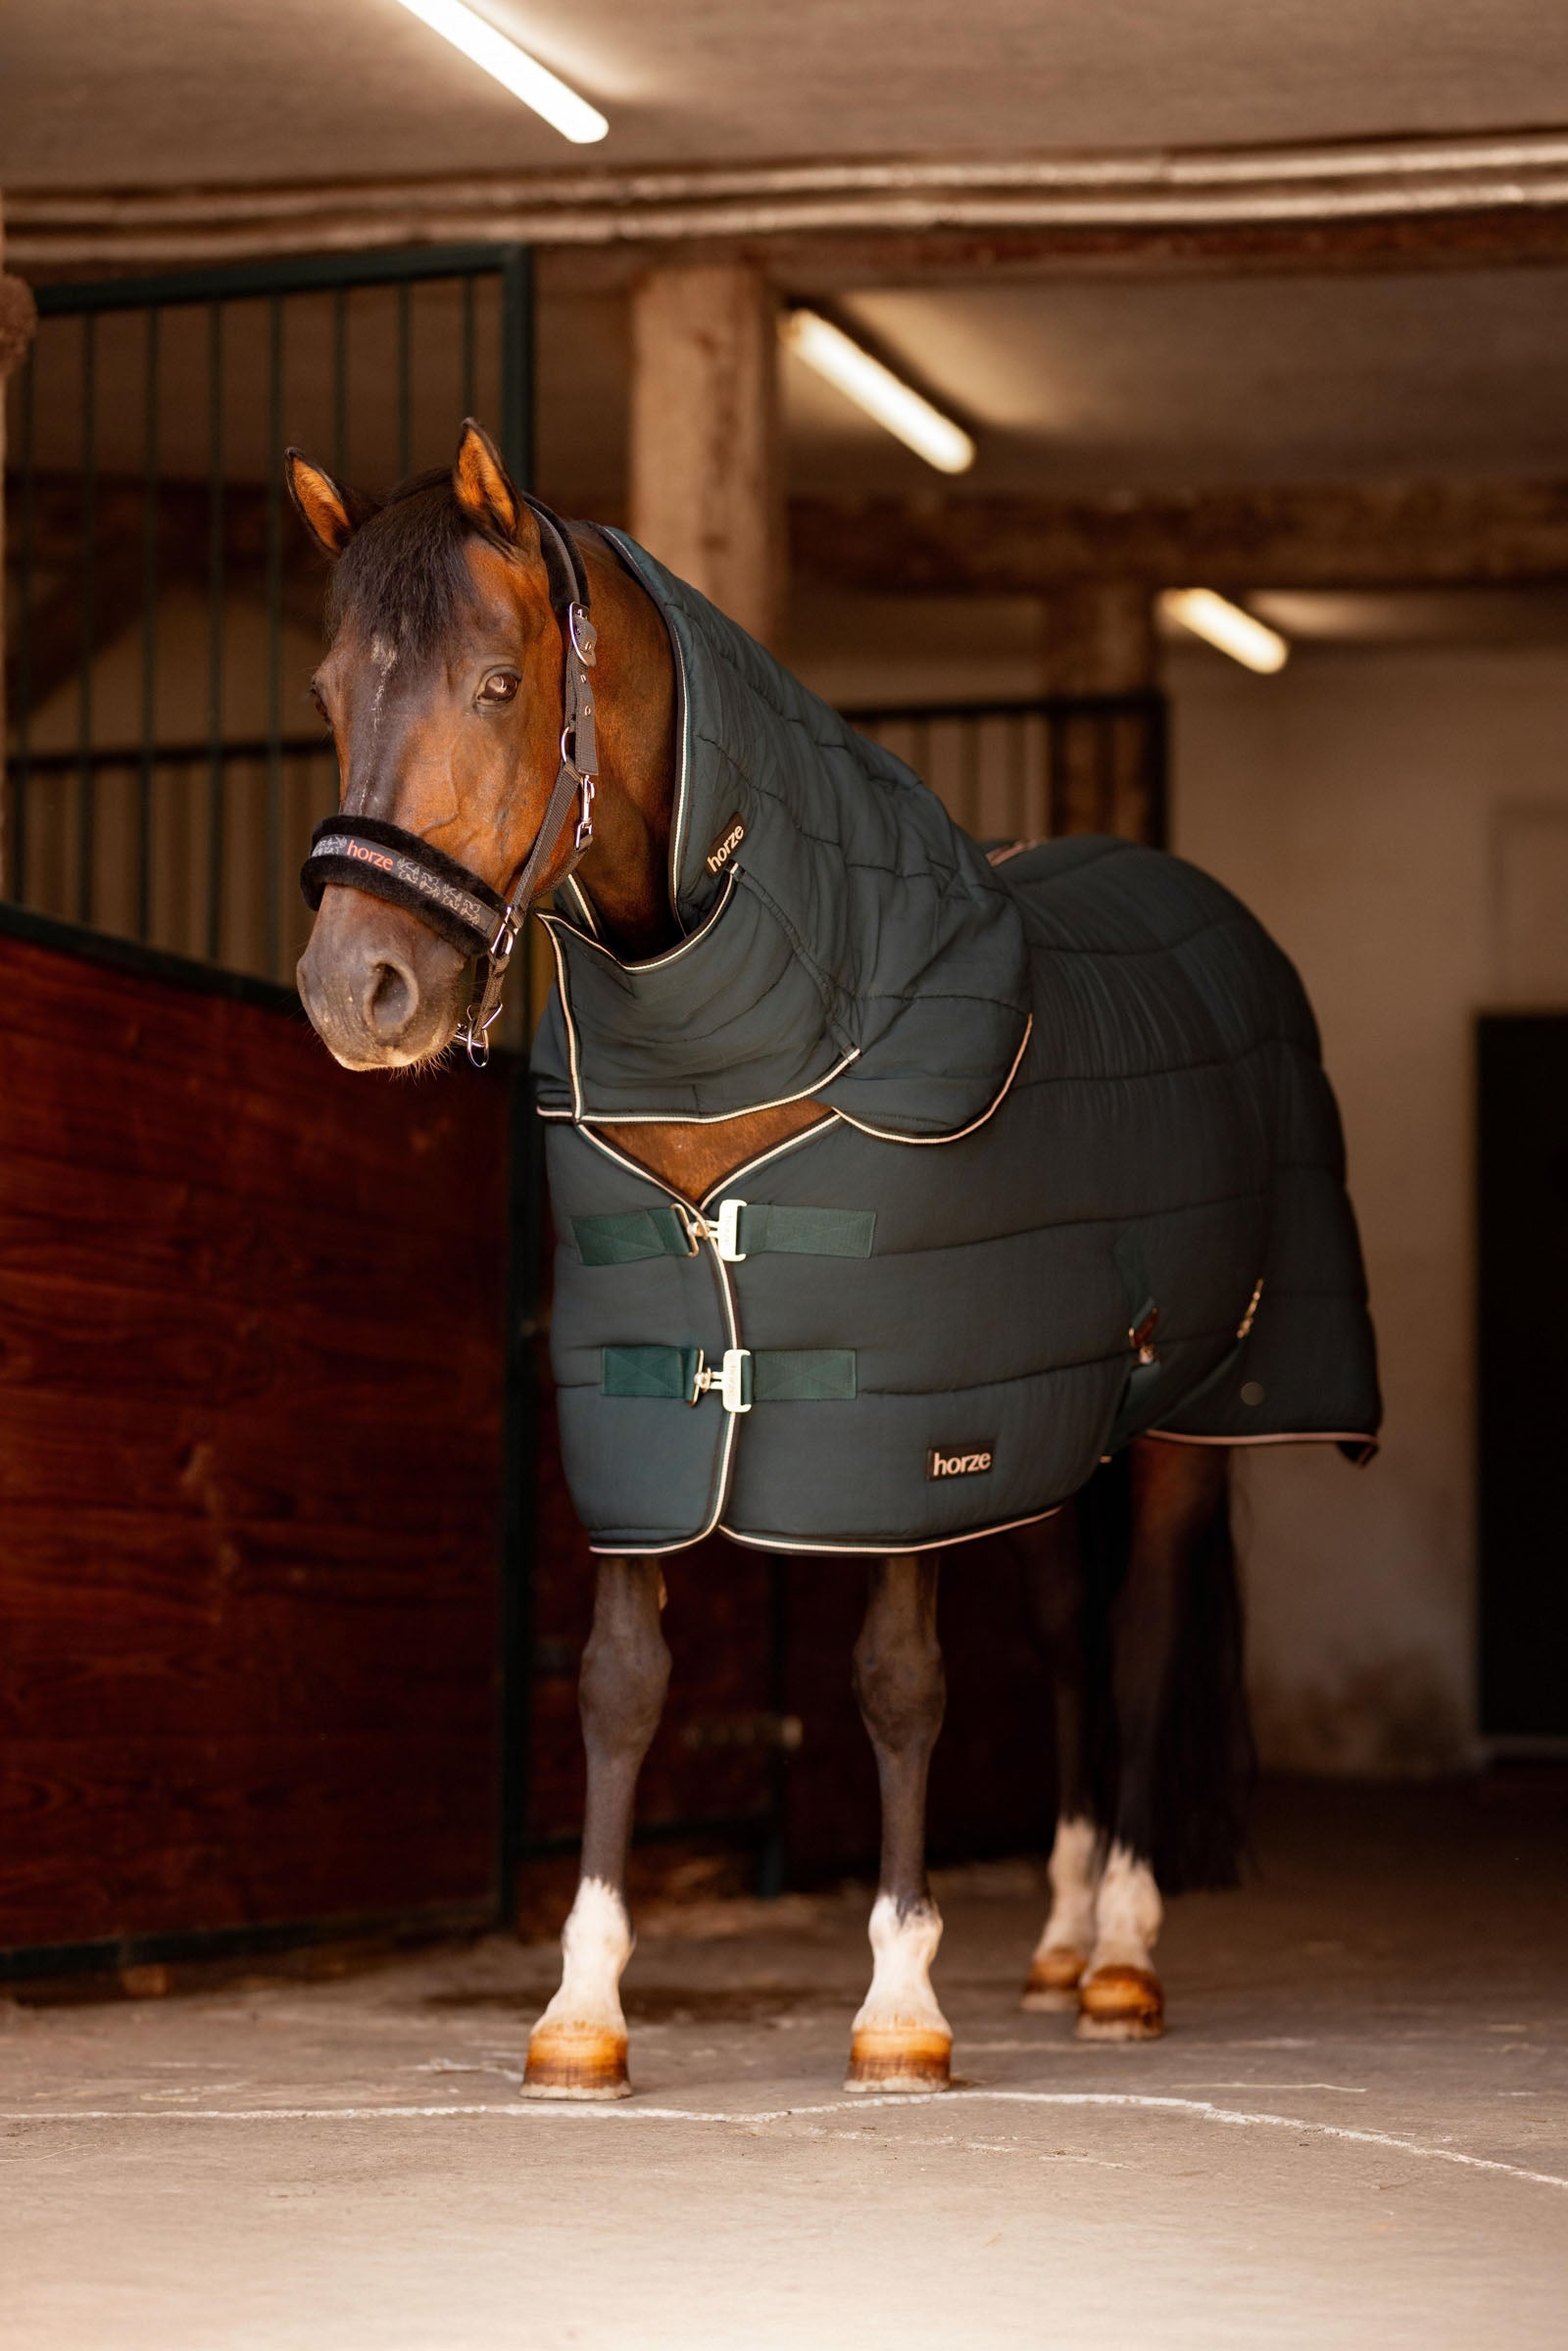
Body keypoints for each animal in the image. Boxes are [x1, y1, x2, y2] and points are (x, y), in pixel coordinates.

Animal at [286, 420, 1378, 2098]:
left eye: (496, 682)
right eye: (331, 689)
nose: (360, 989)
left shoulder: (897, 1426)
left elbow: (898, 1684)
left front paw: (901, 2008)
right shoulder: (651, 1402)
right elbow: (622, 1682)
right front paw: (581, 2012)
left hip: (1189, 1419)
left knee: (1137, 1643)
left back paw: (1123, 1956)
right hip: (1049, 1431)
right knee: (1071, 1639)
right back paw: (1058, 1939)